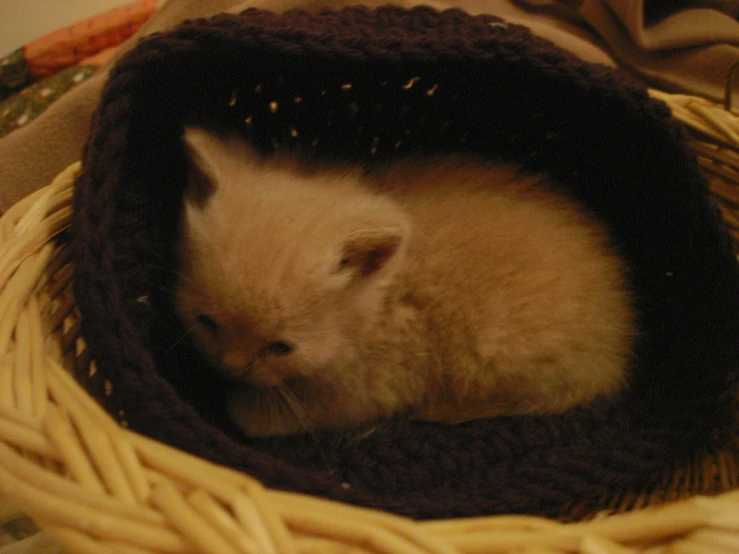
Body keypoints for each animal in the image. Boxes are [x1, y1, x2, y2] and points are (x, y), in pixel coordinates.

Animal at [176, 127, 632, 438]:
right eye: (206, 322)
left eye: (280, 348)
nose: (229, 366)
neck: (378, 303)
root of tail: (616, 353)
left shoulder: (385, 377)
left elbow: (309, 408)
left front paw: (246, 409)